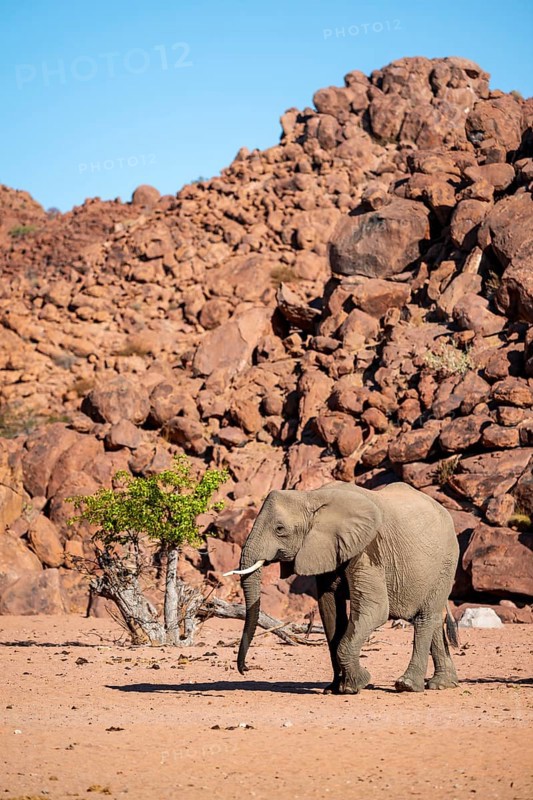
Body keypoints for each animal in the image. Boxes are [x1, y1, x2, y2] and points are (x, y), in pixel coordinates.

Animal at [226, 481, 460, 694]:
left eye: (280, 529)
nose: (245, 669)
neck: (311, 497)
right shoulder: (326, 549)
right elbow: (330, 613)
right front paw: (334, 688)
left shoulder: (367, 548)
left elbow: (375, 610)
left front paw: (357, 684)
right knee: (433, 620)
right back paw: (442, 684)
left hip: (446, 562)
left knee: (425, 618)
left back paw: (407, 685)